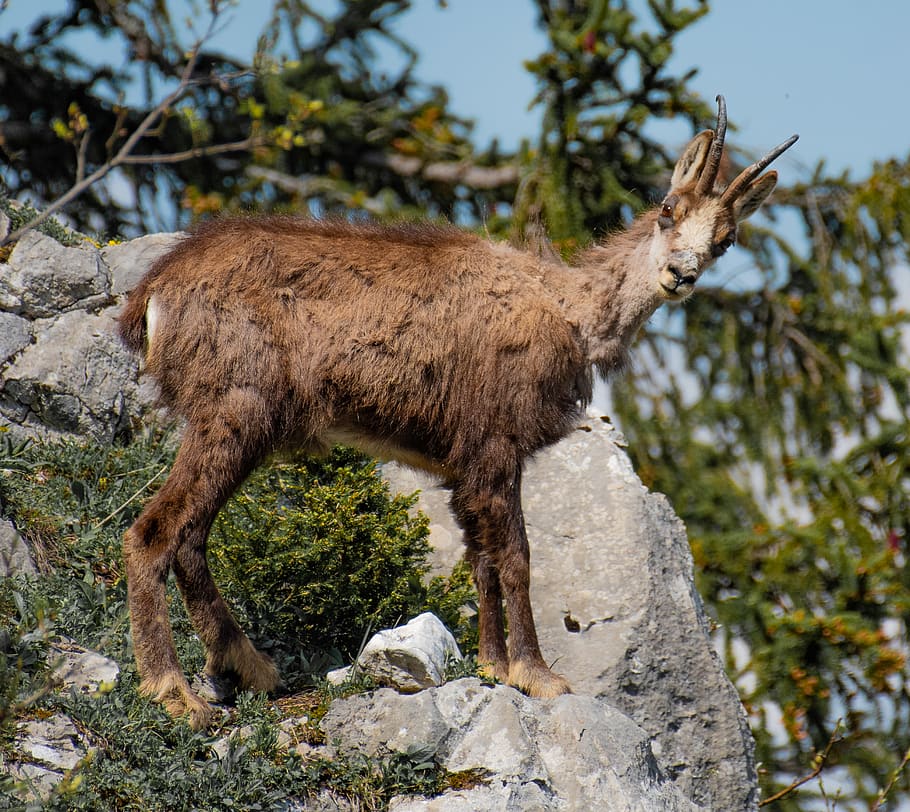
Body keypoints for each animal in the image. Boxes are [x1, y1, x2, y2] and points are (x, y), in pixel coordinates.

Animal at [118, 96, 797, 728]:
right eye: (667, 210)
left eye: (726, 240)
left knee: (191, 538)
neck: (569, 311)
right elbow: (517, 556)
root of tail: (153, 294)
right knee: (155, 531)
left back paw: (248, 665)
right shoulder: (495, 443)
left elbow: (481, 562)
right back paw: (172, 691)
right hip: (234, 410)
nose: (680, 275)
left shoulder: (464, 464)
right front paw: (539, 675)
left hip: (238, 425)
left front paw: (494, 665)